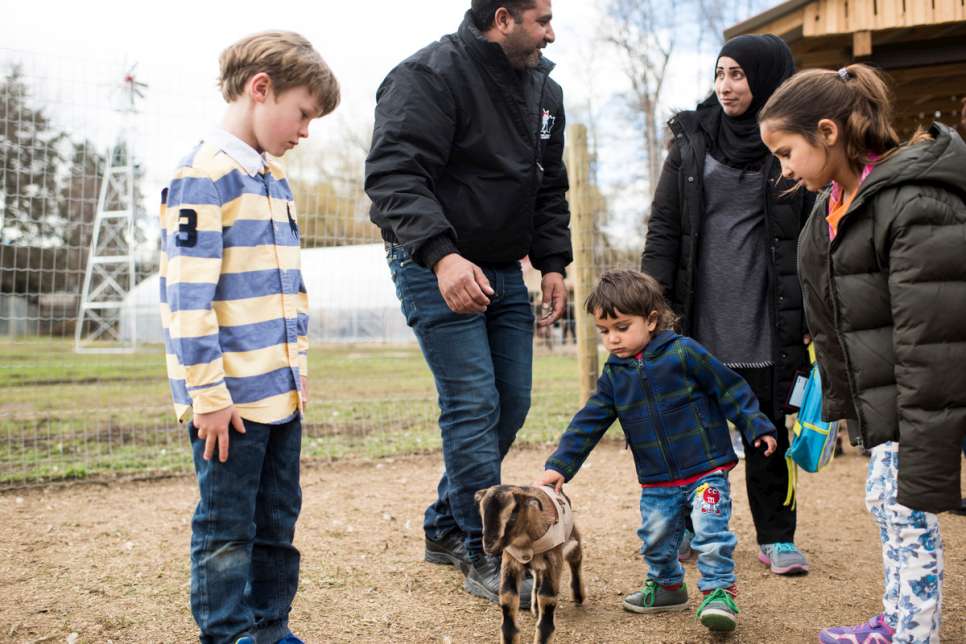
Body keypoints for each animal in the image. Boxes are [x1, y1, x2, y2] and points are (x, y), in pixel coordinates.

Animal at [474, 484, 588, 644]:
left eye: (512, 516)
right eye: (482, 515)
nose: (489, 546)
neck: (525, 542)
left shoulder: (553, 560)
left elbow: (547, 597)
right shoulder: (511, 560)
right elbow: (508, 596)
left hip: (572, 538)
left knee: (576, 559)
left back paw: (578, 596)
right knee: (538, 575)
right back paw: (536, 607)